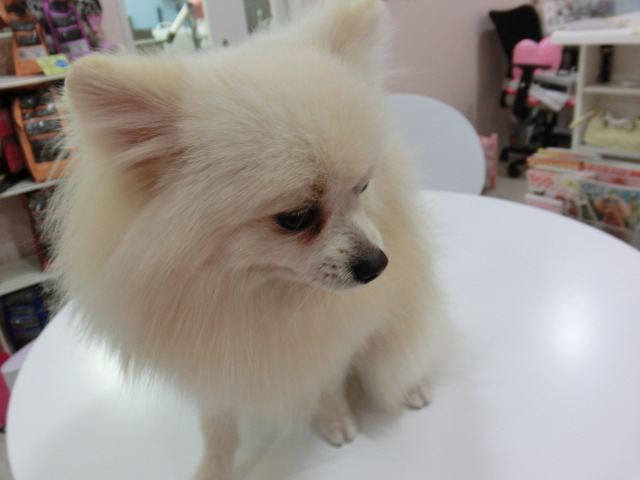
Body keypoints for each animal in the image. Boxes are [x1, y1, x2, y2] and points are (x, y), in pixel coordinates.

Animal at [49, 0, 454, 478]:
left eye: (362, 188)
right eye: (295, 218)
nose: (377, 263)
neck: (256, 296)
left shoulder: (330, 339)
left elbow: (328, 379)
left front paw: (335, 418)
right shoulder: (211, 368)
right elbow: (218, 429)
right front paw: (213, 468)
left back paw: (413, 386)